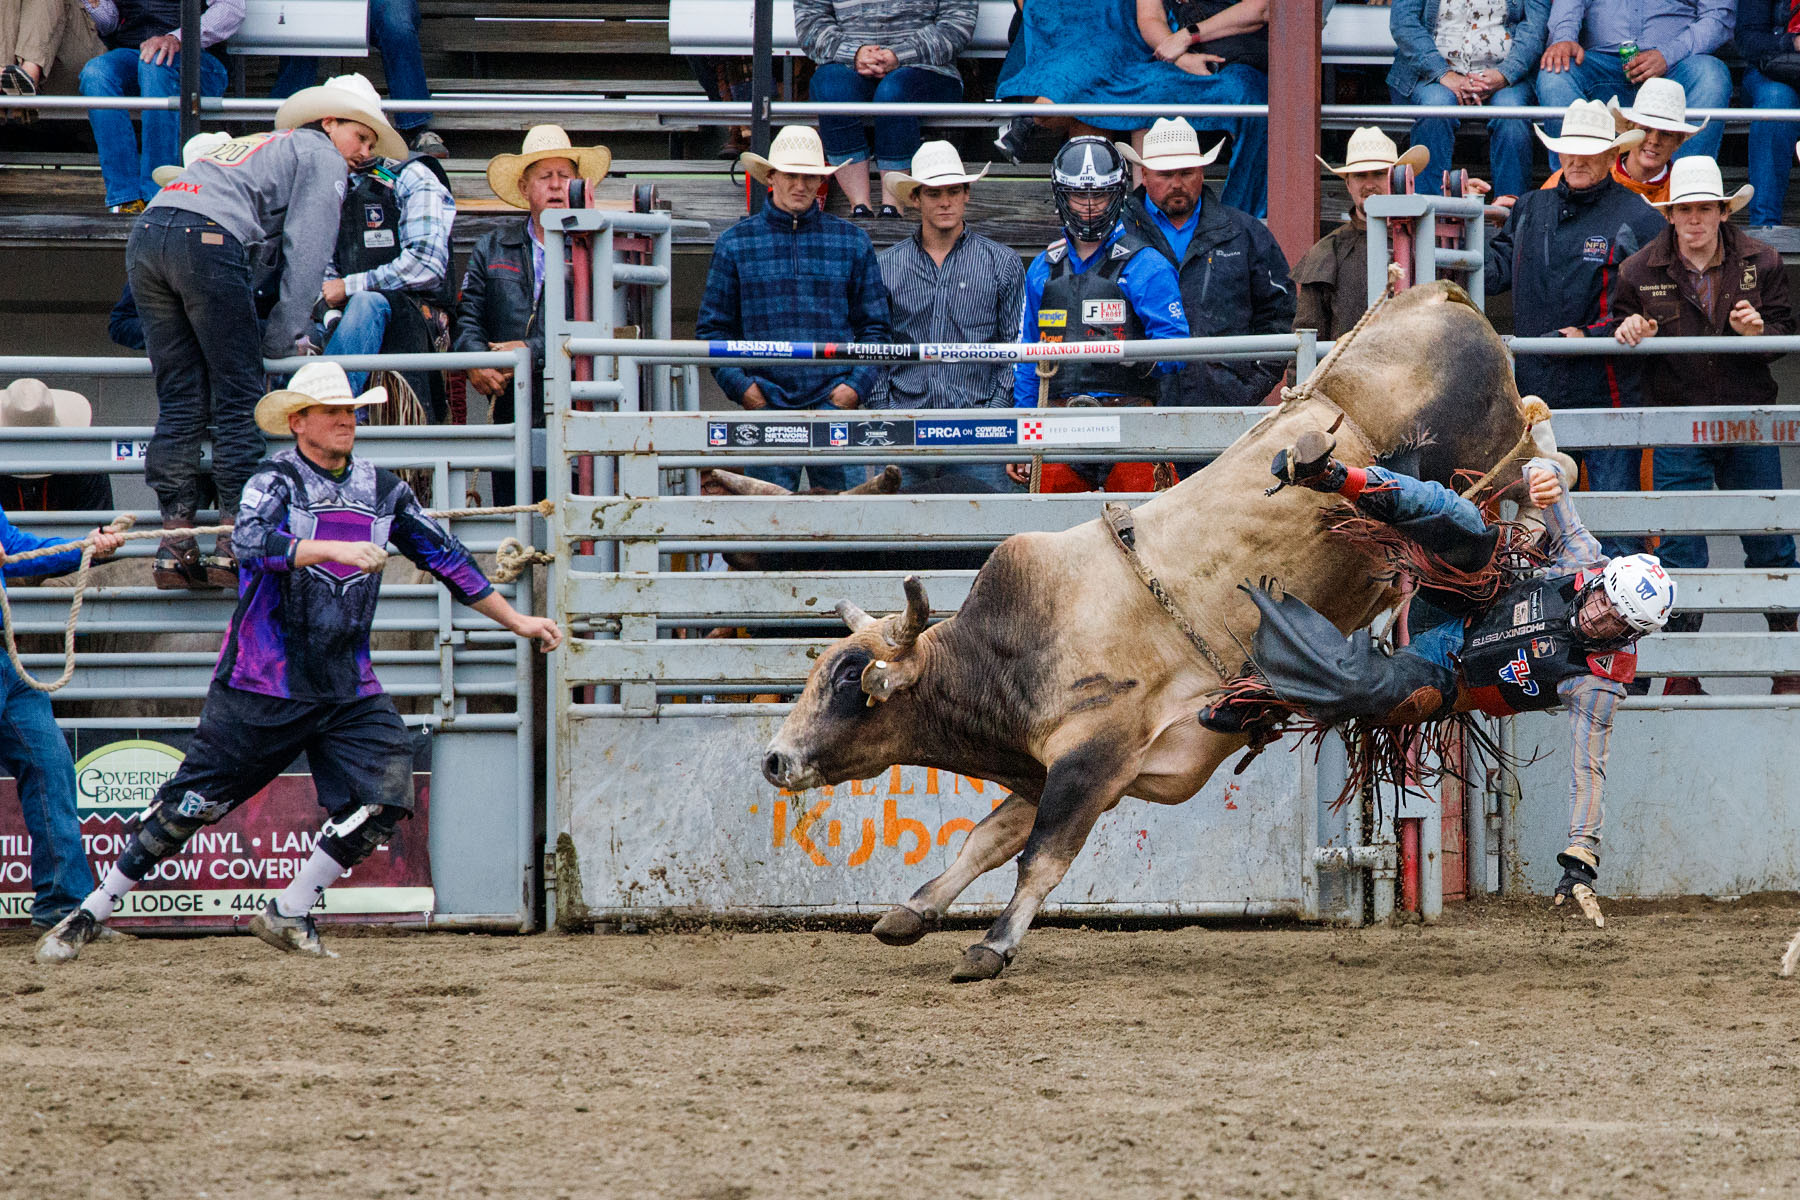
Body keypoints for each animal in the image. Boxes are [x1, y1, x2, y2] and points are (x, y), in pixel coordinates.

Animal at [760, 281, 1545, 981]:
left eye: (850, 684)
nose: (773, 760)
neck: (1016, 648)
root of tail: (1441, 298)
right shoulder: (1047, 770)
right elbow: (985, 840)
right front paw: (912, 912)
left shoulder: (1094, 759)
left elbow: (1041, 857)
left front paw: (991, 948)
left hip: (1478, 469)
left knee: (1537, 456)